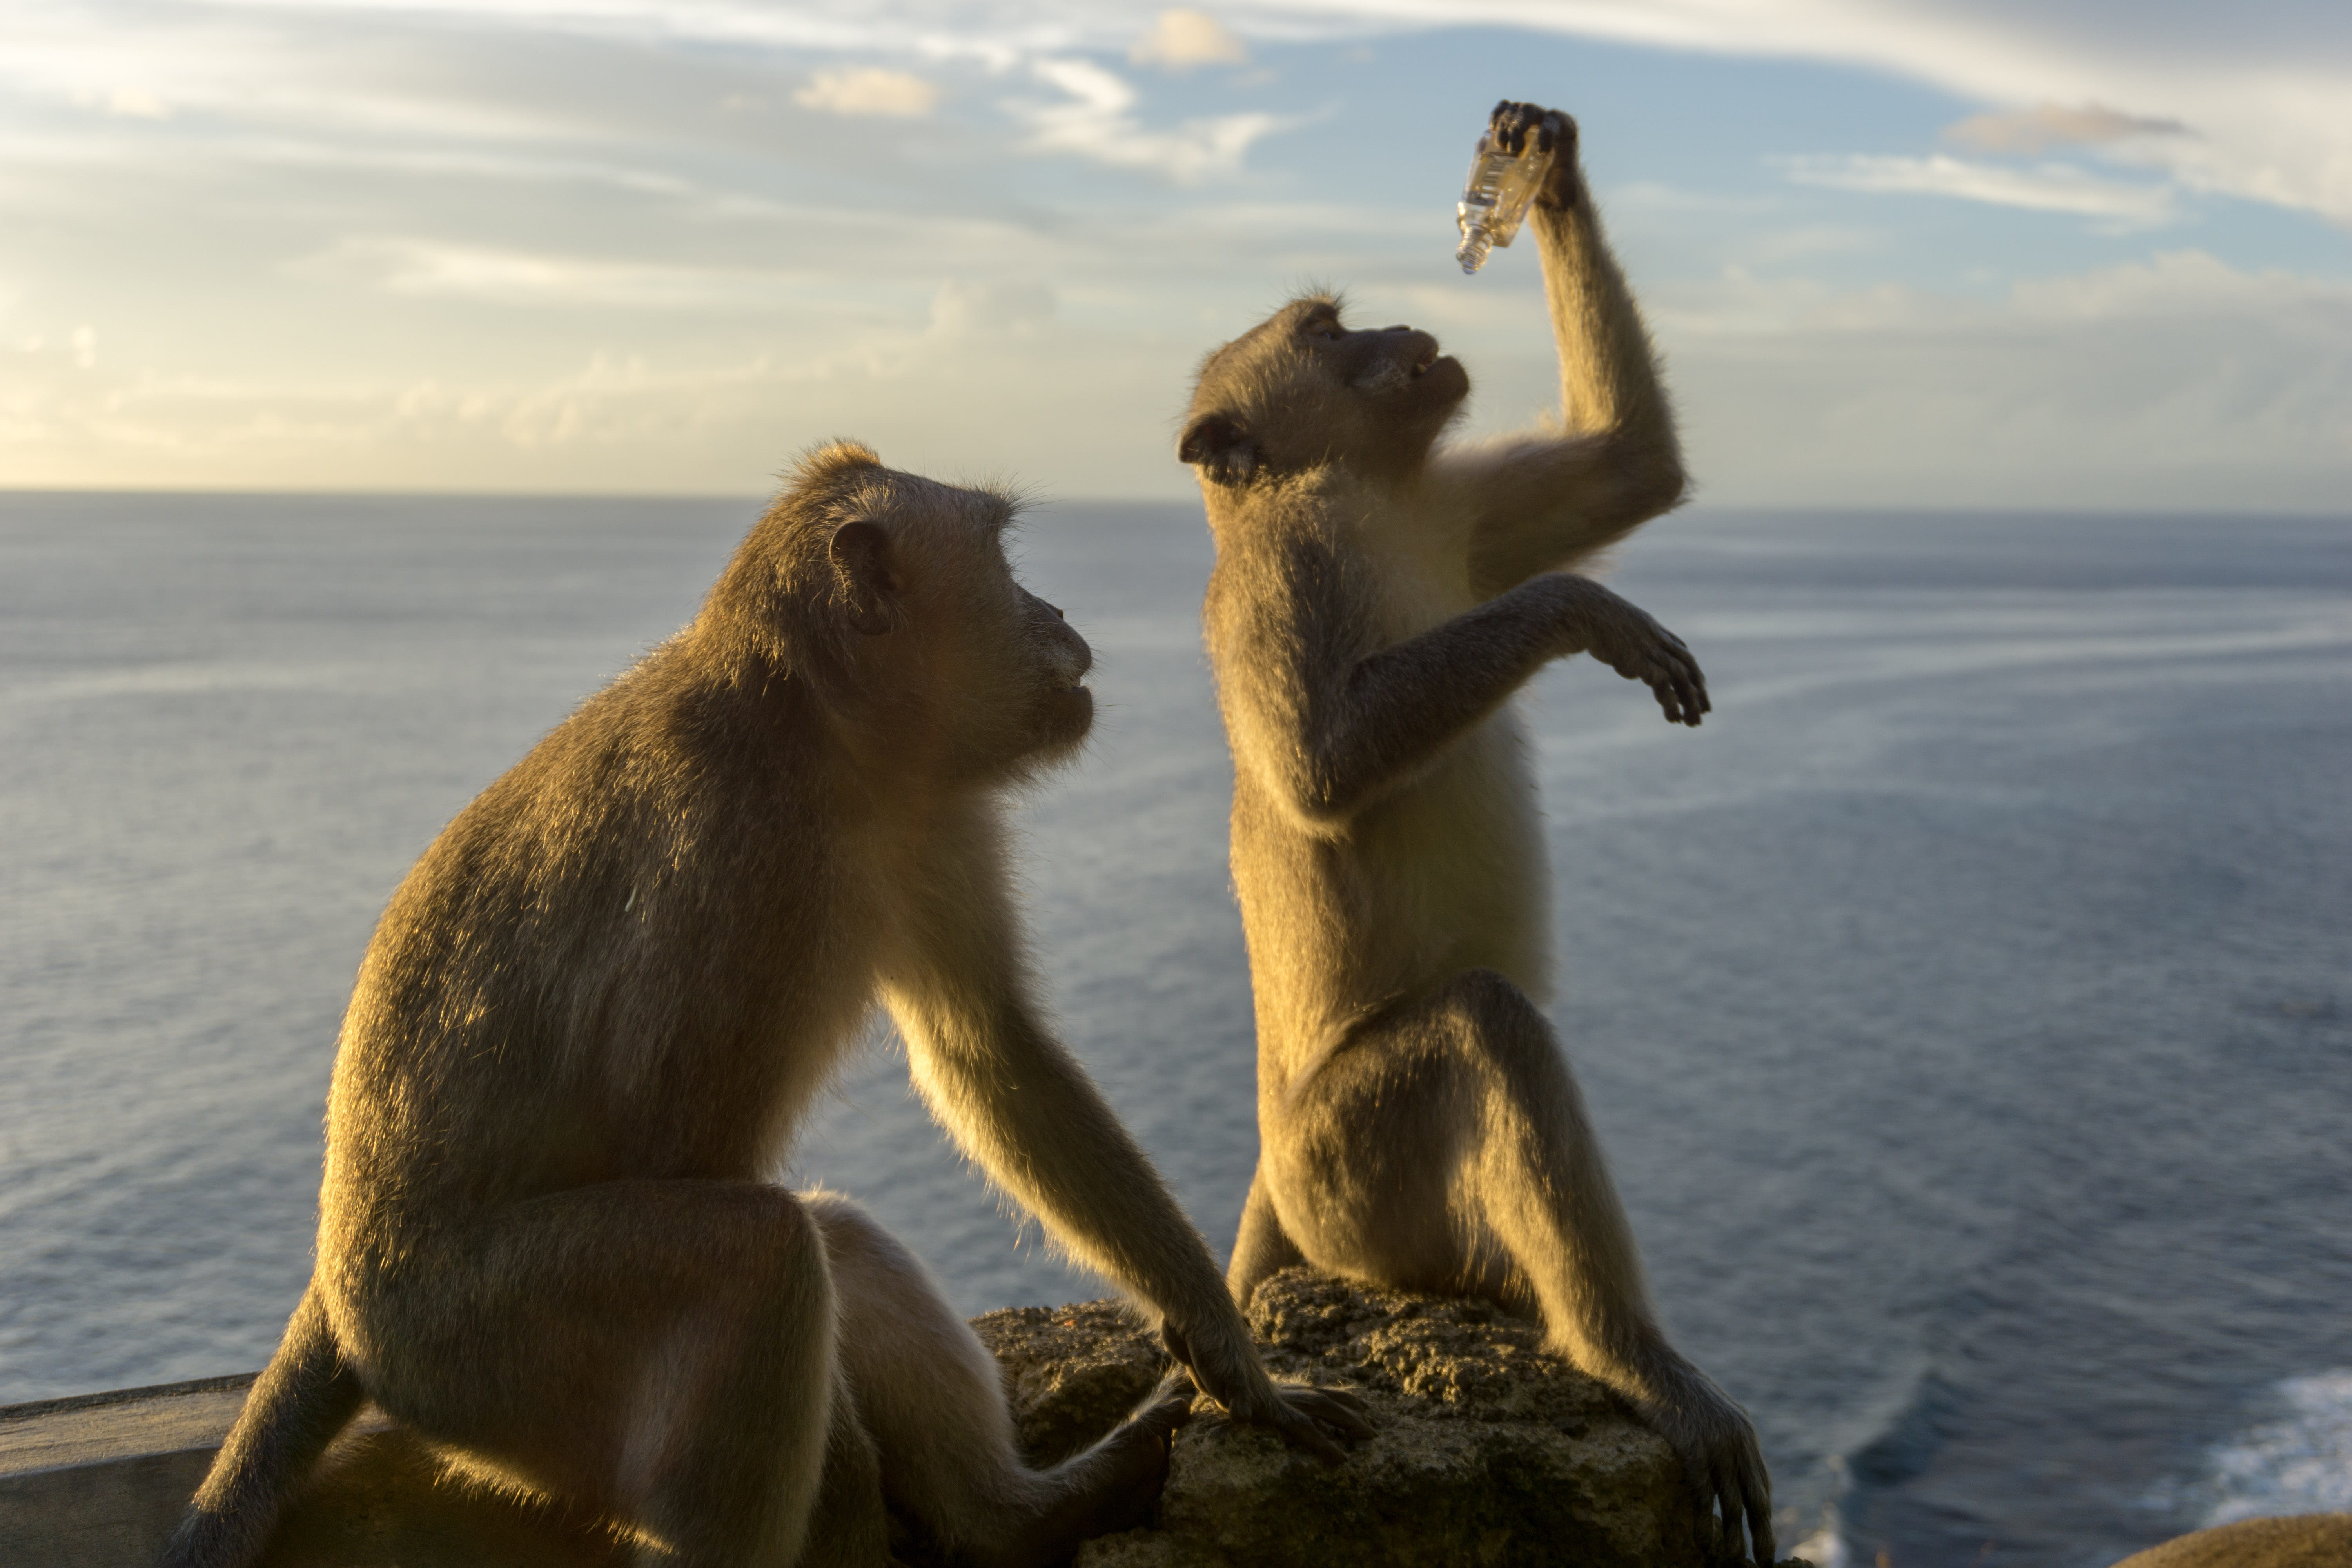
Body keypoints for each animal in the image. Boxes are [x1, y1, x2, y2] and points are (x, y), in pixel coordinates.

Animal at [159, 442, 1370, 1568]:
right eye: (1003, 564)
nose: (1060, 615)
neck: (819, 735)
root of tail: (343, 1285)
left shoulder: (928, 815)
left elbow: (993, 1054)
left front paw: (1233, 1360)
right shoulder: (748, 865)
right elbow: (688, 1152)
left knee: (831, 1240)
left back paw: (1015, 1519)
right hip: (480, 1355)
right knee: (765, 1258)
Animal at [1176, 103, 1775, 1564]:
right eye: (1329, 331)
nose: (1405, 327)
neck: (1360, 489)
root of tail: (1276, 1172)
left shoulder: (1451, 508)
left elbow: (1628, 462)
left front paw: (1538, 162)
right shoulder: (1279, 573)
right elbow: (1323, 766)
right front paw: (1576, 608)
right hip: (1350, 1176)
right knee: (1485, 1027)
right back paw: (1625, 1356)